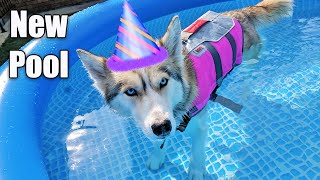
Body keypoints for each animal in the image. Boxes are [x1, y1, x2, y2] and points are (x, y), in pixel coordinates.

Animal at [77, 0, 292, 179]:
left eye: (163, 81)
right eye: (130, 91)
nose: (162, 126)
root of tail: (237, 13)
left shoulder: (199, 124)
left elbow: (197, 151)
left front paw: (196, 170)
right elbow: (157, 142)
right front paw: (157, 154)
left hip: (249, 57)